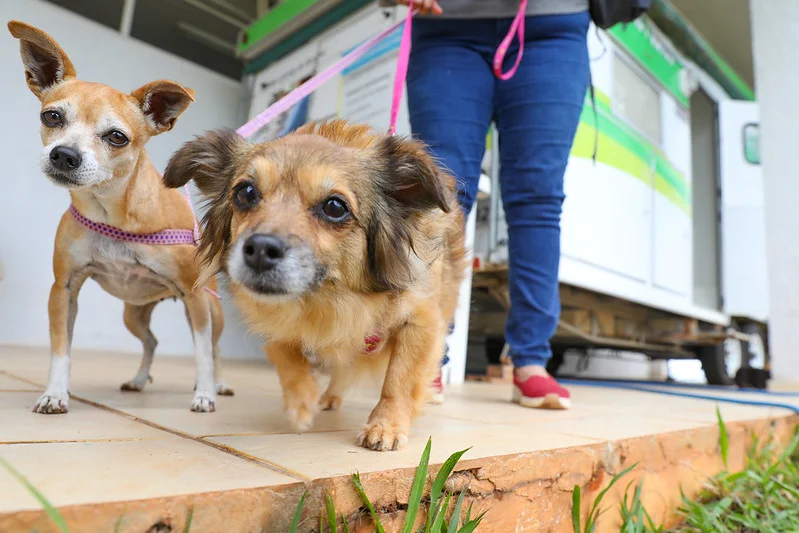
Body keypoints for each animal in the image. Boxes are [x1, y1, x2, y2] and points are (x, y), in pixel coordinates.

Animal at [164, 120, 468, 448]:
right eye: (245, 193)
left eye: (335, 207)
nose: (260, 249)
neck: (329, 298)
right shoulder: (274, 318)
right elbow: (285, 353)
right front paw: (301, 401)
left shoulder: (421, 323)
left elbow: (398, 379)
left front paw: (385, 425)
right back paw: (328, 397)